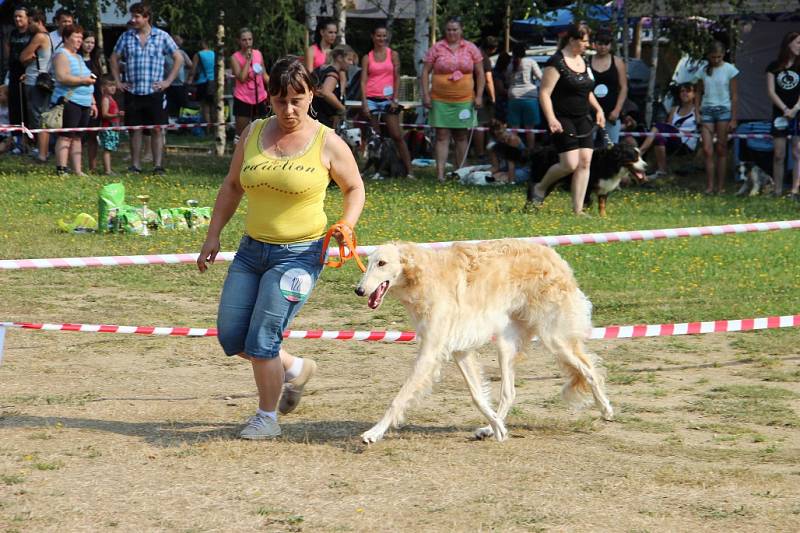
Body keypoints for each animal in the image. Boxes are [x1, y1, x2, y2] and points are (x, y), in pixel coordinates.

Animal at [354, 239, 612, 442]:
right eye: (368, 262)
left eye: (382, 263)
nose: (358, 290)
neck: (424, 276)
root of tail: (556, 258)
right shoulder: (460, 349)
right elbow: (478, 396)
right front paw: (497, 427)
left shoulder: (431, 351)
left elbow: (398, 399)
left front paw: (373, 433)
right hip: (506, 344)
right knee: (509, 393)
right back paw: (490, 428)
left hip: (554, 338)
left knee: (590, 370)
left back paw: (606, 410)